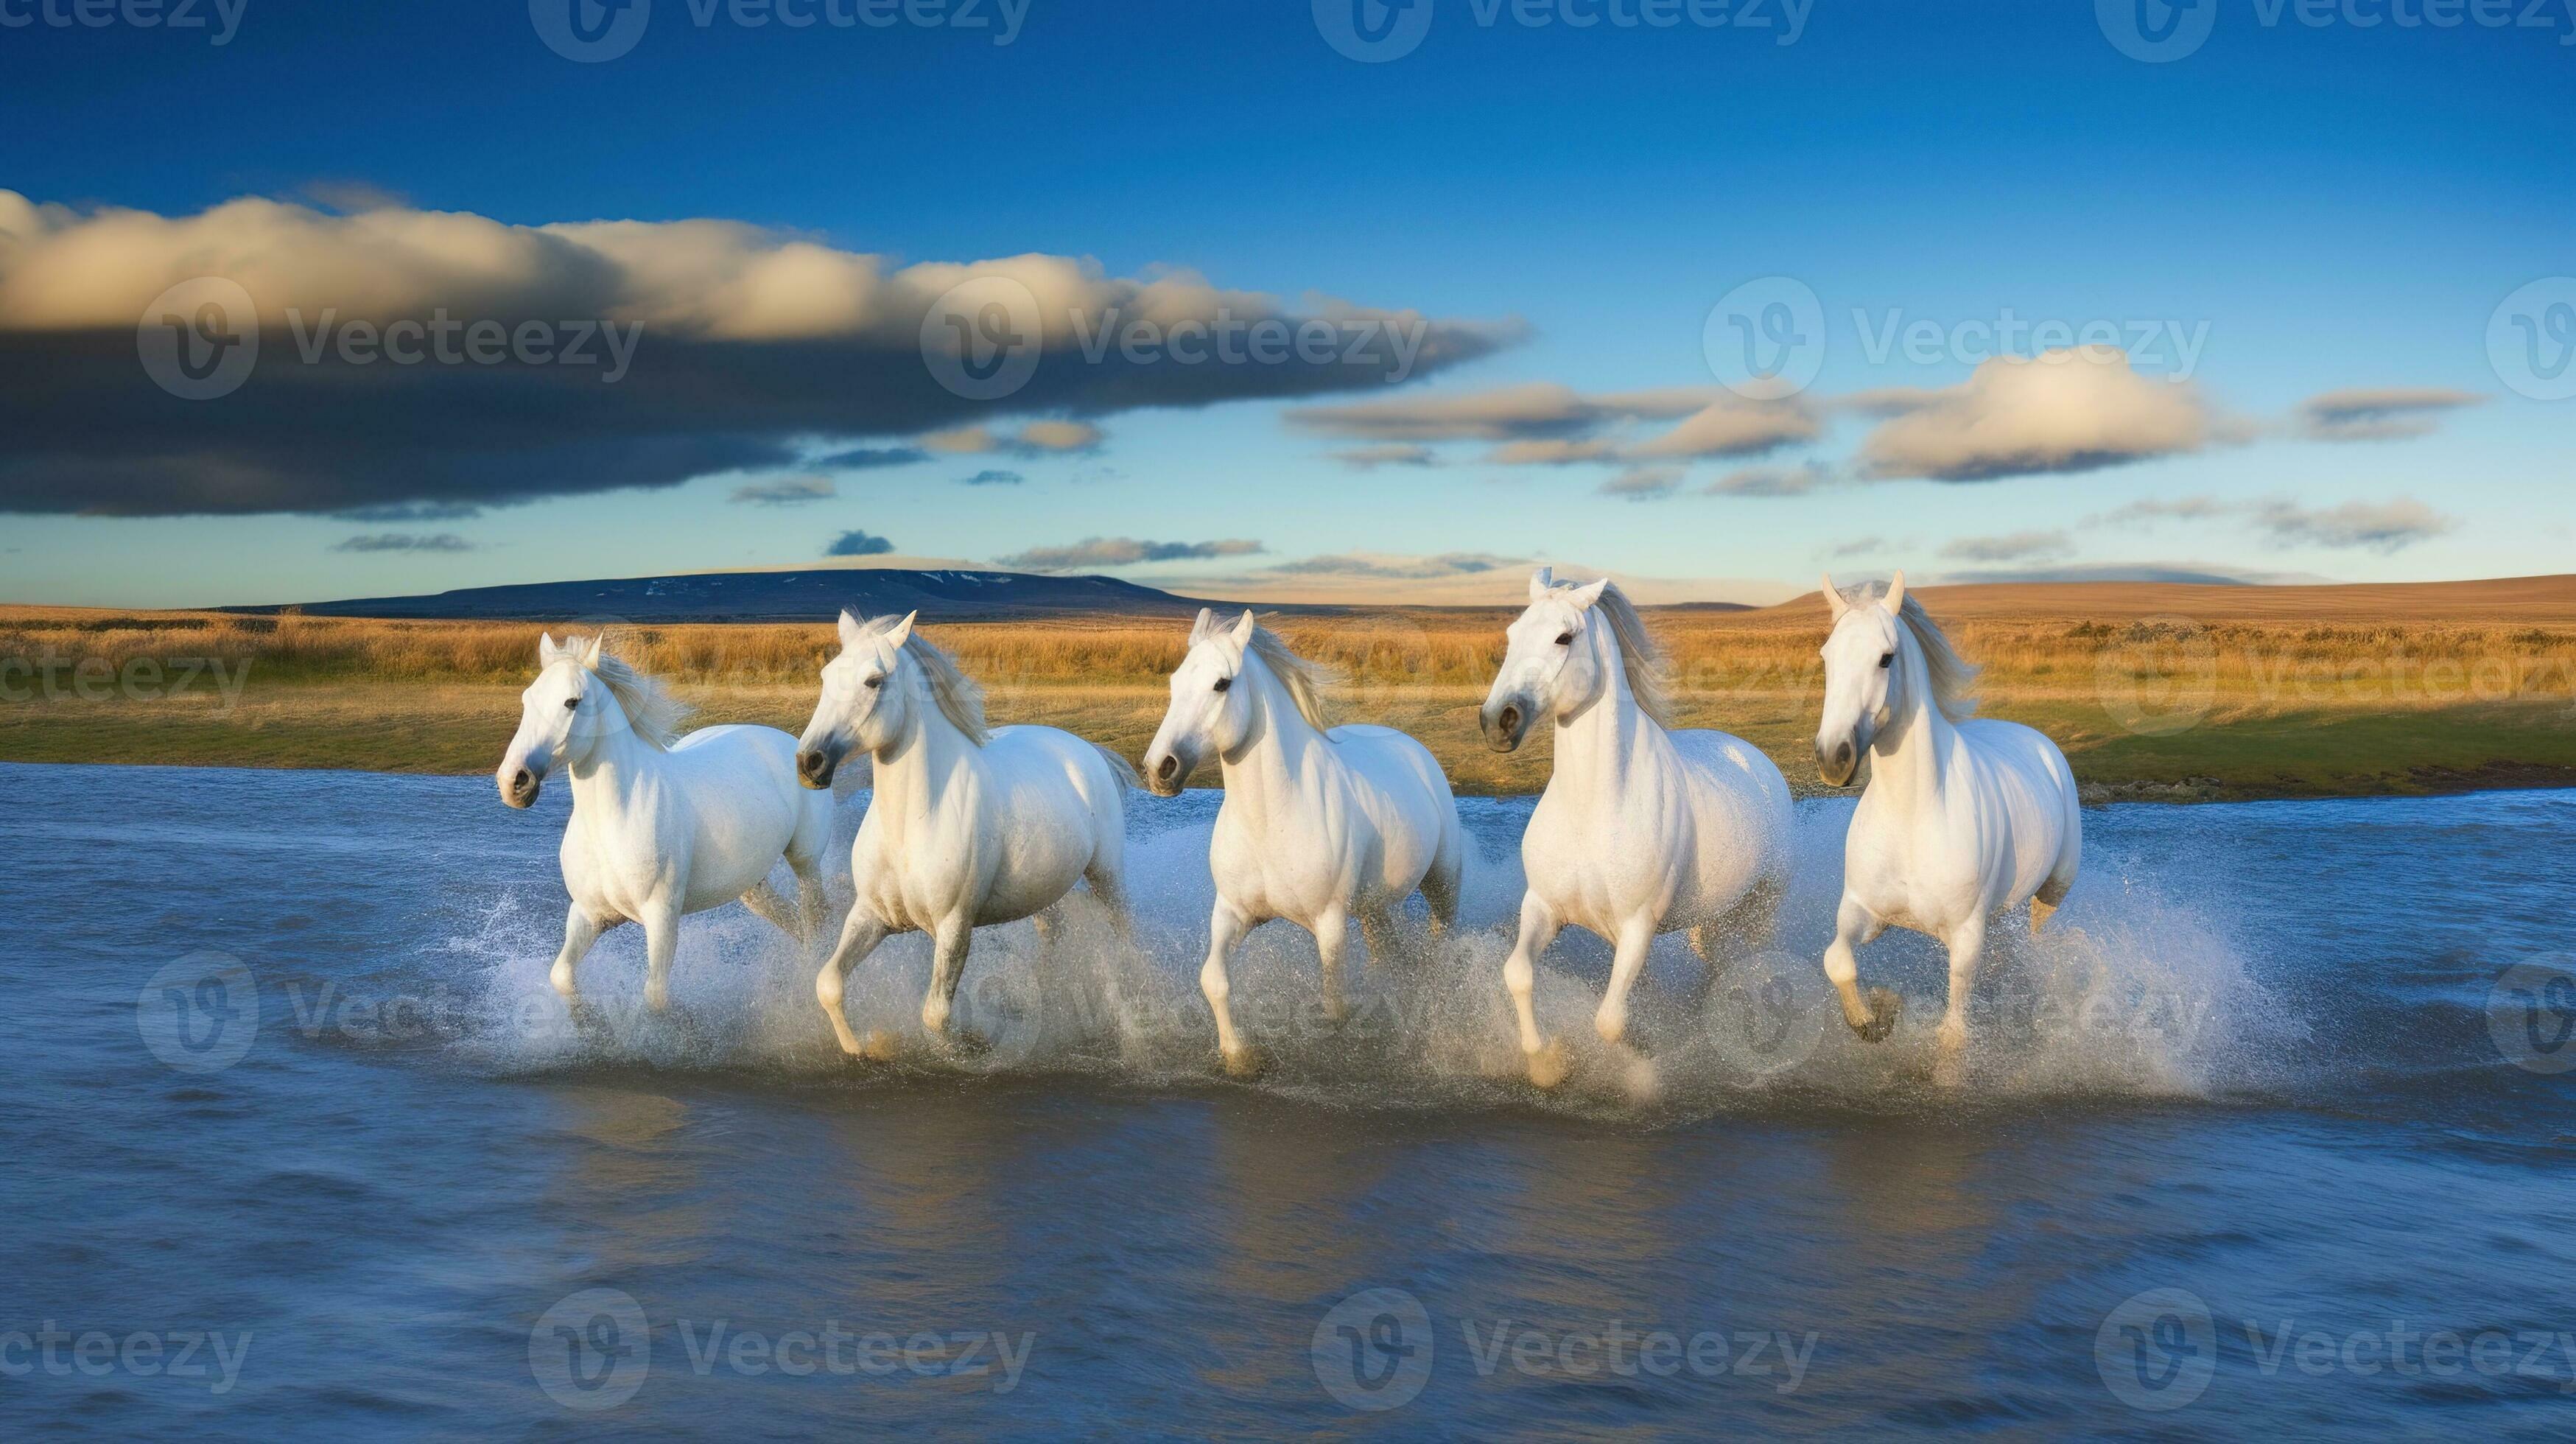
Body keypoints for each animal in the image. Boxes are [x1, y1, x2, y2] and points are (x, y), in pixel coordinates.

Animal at [496, 631, 829, 1016]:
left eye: (572, 702)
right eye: (527, 698)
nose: (514, 782)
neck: (614, 821)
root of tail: (793, 744)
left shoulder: (662, 917)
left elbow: (656, 997)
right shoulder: (588, 915)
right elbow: (562, 977)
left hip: (806, 863)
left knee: (815, 920)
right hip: (752, 883)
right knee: (794, 923)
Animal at [799, 603, 1133, 1057]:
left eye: (873, 681)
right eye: (826, 675)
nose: (809, 762)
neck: (911, 826)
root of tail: (1090, 751)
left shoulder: (955, 926)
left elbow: (935, 1016)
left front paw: (976, 1042)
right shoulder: (871, 914)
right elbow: (829, 984)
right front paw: (863, 1047)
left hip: (1107, 875)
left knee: (1125, 930)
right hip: (1045, 891)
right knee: (1052, 934)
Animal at [1138, 606, 1463, 1073]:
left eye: (1222, 683)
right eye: (1174, 681)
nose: (1159, 768)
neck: (1270, 821)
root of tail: (1414, 749)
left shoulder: (1330, 923)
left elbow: (1333, 1005)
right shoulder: (1233, 911)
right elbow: (1214, 979)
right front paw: (1240, 1056)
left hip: (1443, 882)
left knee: (1442, 943)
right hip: (1373, 907)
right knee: (1386, 955)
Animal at [1484, 569, 1803, 1088]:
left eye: (1564, 637)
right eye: (1512, 635)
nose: (1497, 722)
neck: (1591, 810)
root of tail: (1756, 760)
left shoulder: (1638, 926)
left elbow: (1611, 1021)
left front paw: (1647, 1052)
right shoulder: (1545, 907)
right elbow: (1519, 973)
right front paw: (1547, 1063)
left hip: (1763, 908)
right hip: (1712, 918)